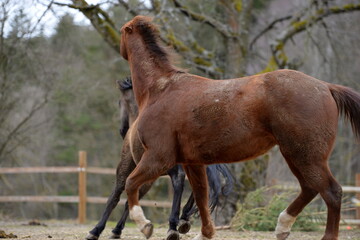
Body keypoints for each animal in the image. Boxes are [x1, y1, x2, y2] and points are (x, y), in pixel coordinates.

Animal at [86, 77, 235, 240]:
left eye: (120, 102)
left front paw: (98, 230)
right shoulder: (149, 177)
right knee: (199, 187)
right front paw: (121, 229)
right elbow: (131, 199)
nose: (123, 130)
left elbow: (115, 197)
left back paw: (174, 225)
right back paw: (183, 220)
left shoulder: (127, 167)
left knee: (179, 181)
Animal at [119, 15, 360, 239]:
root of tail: (326, 87)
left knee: (332, 191)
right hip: (295, 154)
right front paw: (204, 233)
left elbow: (130, 183)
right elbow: (202, 195)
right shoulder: (192, 162)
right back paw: (282, 226)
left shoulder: (159, 157)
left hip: (307, 156)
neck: (161, 89)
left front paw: (144, 225)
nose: (123, 130)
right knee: (310, 188)